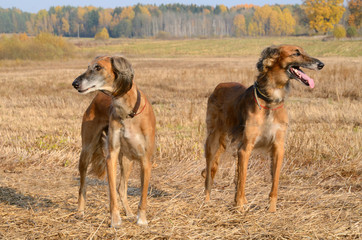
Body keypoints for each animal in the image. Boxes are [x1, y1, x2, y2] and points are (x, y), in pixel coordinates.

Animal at [71, 55, 155, 227]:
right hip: (86, 151)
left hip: (127, 160)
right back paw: (80, 211)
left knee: (122, 188)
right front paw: (115, 220)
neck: (128, 111)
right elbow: (111, 193)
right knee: (83, 185)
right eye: (88, 67)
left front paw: (141, 219)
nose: (75, 83)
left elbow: (142, 194)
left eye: (98, 67)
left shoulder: (145, 159)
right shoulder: (112, 156)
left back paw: (129, 212)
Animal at [202, 45, 324, 212]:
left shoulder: (278, 147)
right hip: (213, 141)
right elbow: (242, 180)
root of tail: (220, 85)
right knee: (210, 174)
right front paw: (239, 208)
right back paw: (207, 201)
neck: (270, 101)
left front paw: (271, 210)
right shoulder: (245, 148)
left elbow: (274, 184)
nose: (321, 64)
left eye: (304, 51)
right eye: (296, 53)